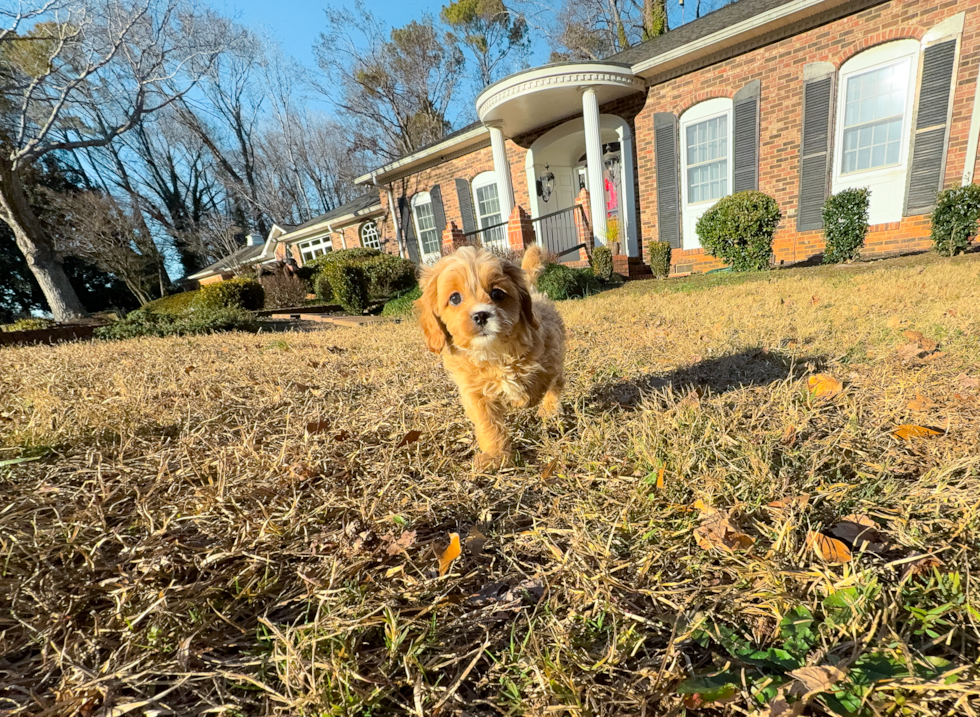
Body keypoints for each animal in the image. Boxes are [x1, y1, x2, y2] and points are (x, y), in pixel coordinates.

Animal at [416, 246, 568, 470]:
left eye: (497, 293)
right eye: (455, 298)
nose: (480, 315)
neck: (494, 352)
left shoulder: (549, 353)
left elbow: (543, 384)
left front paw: (533, 403)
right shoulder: (474, 392)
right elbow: (488, 424)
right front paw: (495, 456)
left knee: (557, 381)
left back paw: (548, 409)